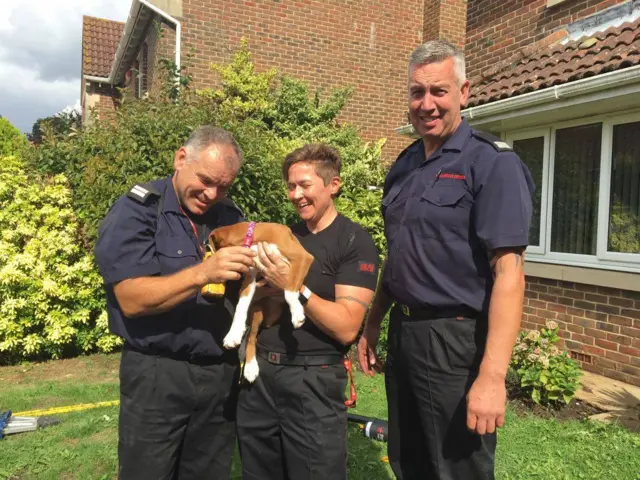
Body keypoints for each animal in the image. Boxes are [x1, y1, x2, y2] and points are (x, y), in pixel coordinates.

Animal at [209, 222, 314, 382]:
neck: (254, 238)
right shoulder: (250, 276)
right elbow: (241, 306)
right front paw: (233, 334)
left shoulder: (302, 257)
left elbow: (289, 290)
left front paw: (297, 314)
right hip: (257, 311)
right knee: (251, 338)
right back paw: (250, 368)